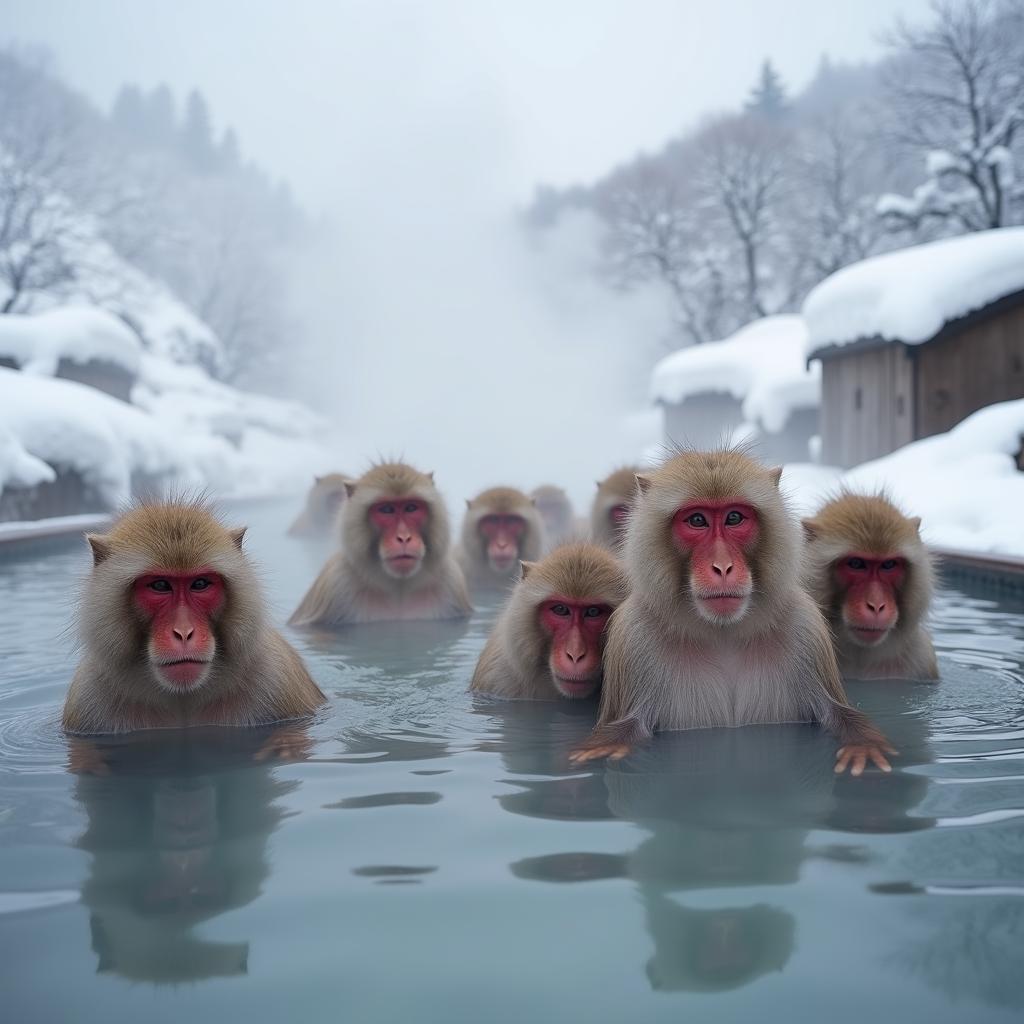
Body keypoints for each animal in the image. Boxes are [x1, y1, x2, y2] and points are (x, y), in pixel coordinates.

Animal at [61, 497, 325, 733]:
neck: (183, 698)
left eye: (199, 584)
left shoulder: (276, 682)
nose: (184, 632)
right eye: (160, 585)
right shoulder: (89, 700)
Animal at [288, 462, 471, 622]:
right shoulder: (336, 584)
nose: (404, 537)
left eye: (411, 508)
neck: (399, 588)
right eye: (387, 510)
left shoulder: (451, 583)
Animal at [569, 448, 897, 774]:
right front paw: (607, 745)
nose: (723, 567)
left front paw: (863, 744)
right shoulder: (634, 640)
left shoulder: (805, 629)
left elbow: (835, 714)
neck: (722, 632)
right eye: (697, 520)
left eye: (734, 518)